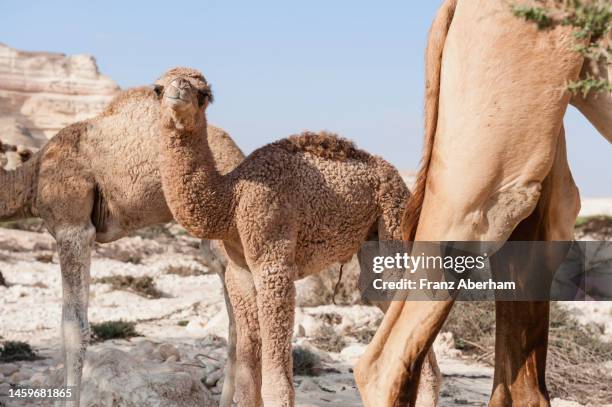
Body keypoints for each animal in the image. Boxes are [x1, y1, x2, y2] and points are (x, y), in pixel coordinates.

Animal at [153, 67, 440, 407]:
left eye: (204, 93)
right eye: (157, 89)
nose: (179, 90)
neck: (231, 201)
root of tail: (401, 181)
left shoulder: (273, 260)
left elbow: (276, 381)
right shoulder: (238, 272)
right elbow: (247, 377)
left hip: (394, 220)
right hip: (374, 241)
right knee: (381, 296)